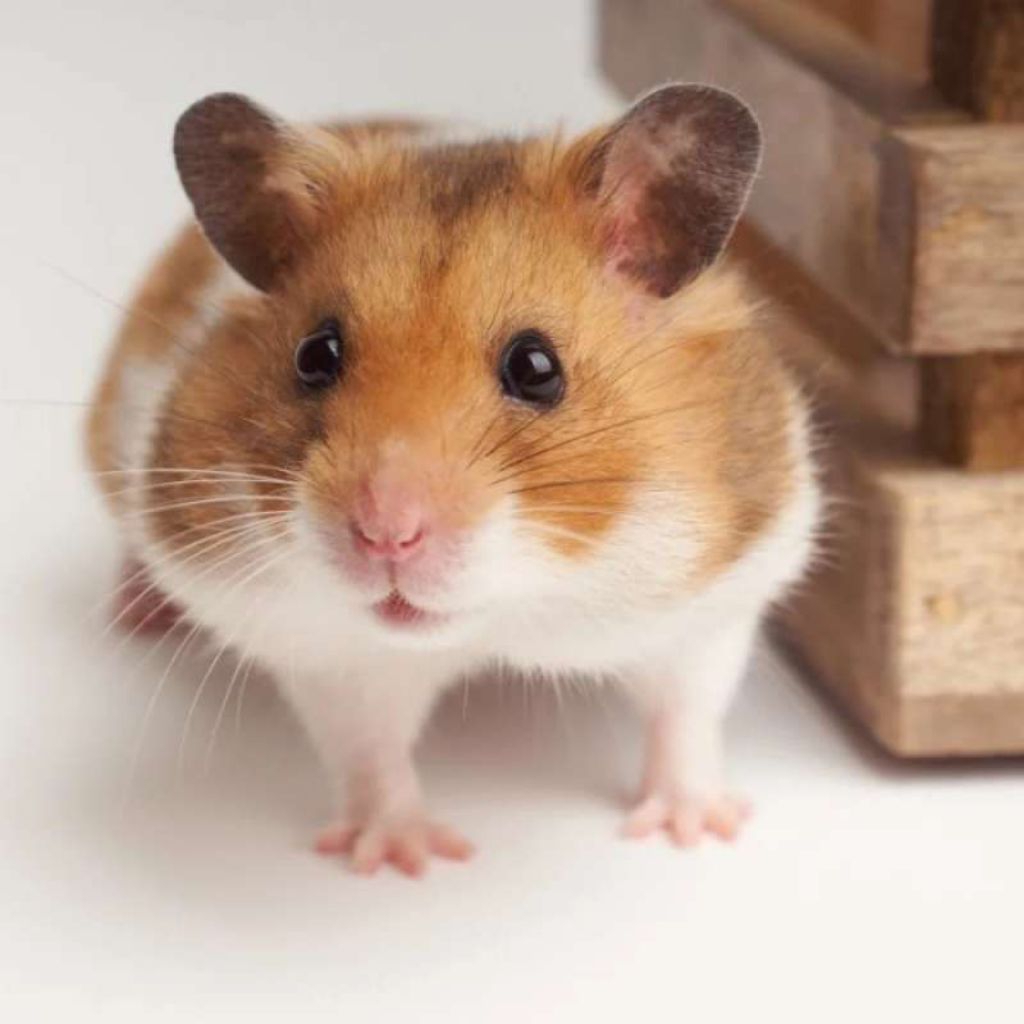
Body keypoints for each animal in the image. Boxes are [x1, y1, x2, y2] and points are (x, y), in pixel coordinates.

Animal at [86, 86, 819, 876]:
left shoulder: (712, 601)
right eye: (315, 355)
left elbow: (686, 714)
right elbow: (370, 753)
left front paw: (697, 830)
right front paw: (405, 859)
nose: (385, 535)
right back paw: (136, 612)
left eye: (537, 367)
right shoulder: (331, 653)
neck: (506, 612)